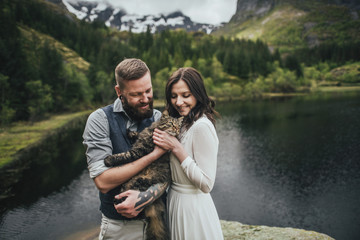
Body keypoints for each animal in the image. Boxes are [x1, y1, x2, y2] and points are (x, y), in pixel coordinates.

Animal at [103, 110, 183, 240]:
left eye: (178, 126)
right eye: (171, 123)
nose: (176, 130)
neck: (153, 131)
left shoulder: (138, 152)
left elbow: (124, 155)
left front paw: (109, 160)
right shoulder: (143, 137)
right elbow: (138, 133)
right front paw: (130, 132)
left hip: (140, 180)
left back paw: (119, 201)